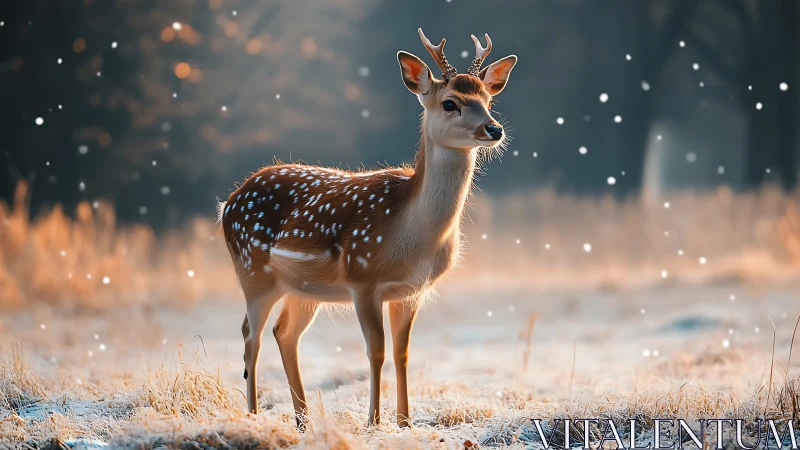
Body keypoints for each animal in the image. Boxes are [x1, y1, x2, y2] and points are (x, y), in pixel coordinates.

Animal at [218, 28, 517, 428]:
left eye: (488, 100)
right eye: (450, 103)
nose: (494, 129)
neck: (409, 237)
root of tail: (227, 204)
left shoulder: (411, 291)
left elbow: (403, 353)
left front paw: (405, 422)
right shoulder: (363, 280)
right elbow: (376, 351)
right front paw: (374, 421)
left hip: (302, 288)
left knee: (285, 333)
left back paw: (304, 420)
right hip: (253, 272)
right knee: (252, 336)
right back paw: (252, 416)